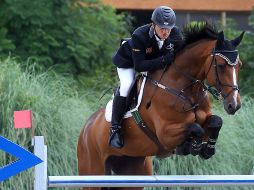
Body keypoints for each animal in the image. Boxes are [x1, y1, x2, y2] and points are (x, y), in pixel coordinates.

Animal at [77, 22, 244, 190]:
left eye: (239, 66)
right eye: (221, 65)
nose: (234, 105)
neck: (184, 89)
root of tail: (86, 128)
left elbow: (216, 121)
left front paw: (208, 149)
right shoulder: (166, 134)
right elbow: (195, 128)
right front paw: (193, 147)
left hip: (132, 171)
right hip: (92, 172)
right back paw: (115, 136)